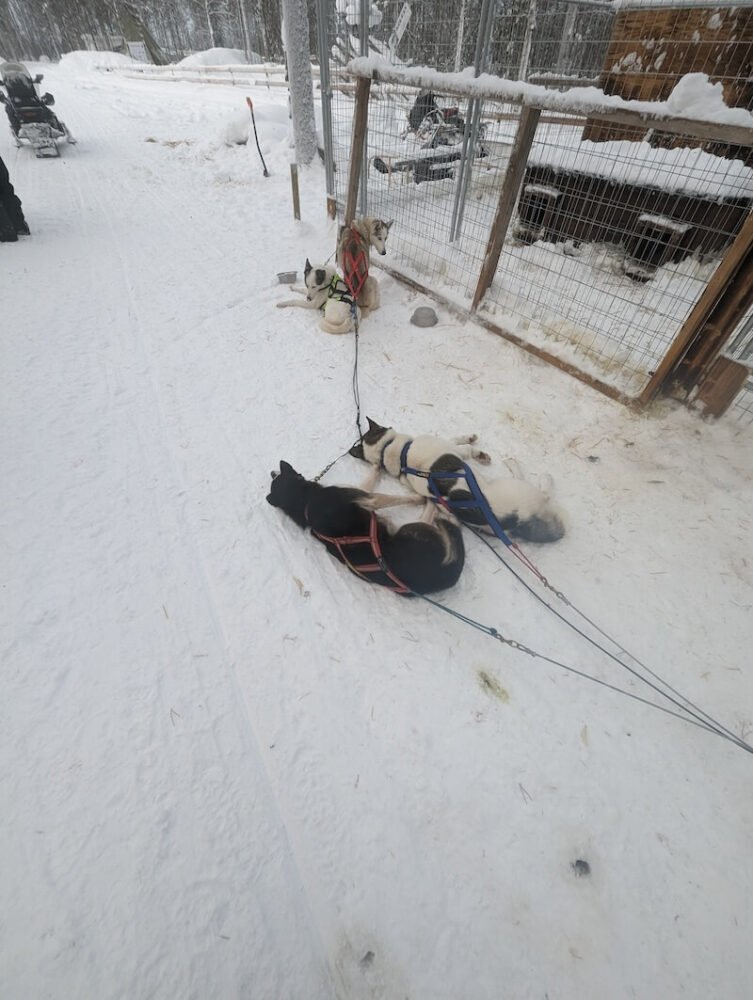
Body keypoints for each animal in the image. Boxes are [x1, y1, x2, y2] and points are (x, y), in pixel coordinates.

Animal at [264, 460, 464, 592]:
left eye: (276, 476)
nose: (271, 472)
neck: (305, 502)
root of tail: (447, 574)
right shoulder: (369, 498)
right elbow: (392, 497)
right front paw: (416, 497)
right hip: (412, 528)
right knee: (432, 518)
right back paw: (439, 506)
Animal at [352, 414, 564, 544]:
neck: (398, 454)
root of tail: (524, 519)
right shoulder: (453, 450)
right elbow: (464, 447)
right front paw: (475, 447)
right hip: (517, 487)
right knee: (541, 490)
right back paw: (533, 473)